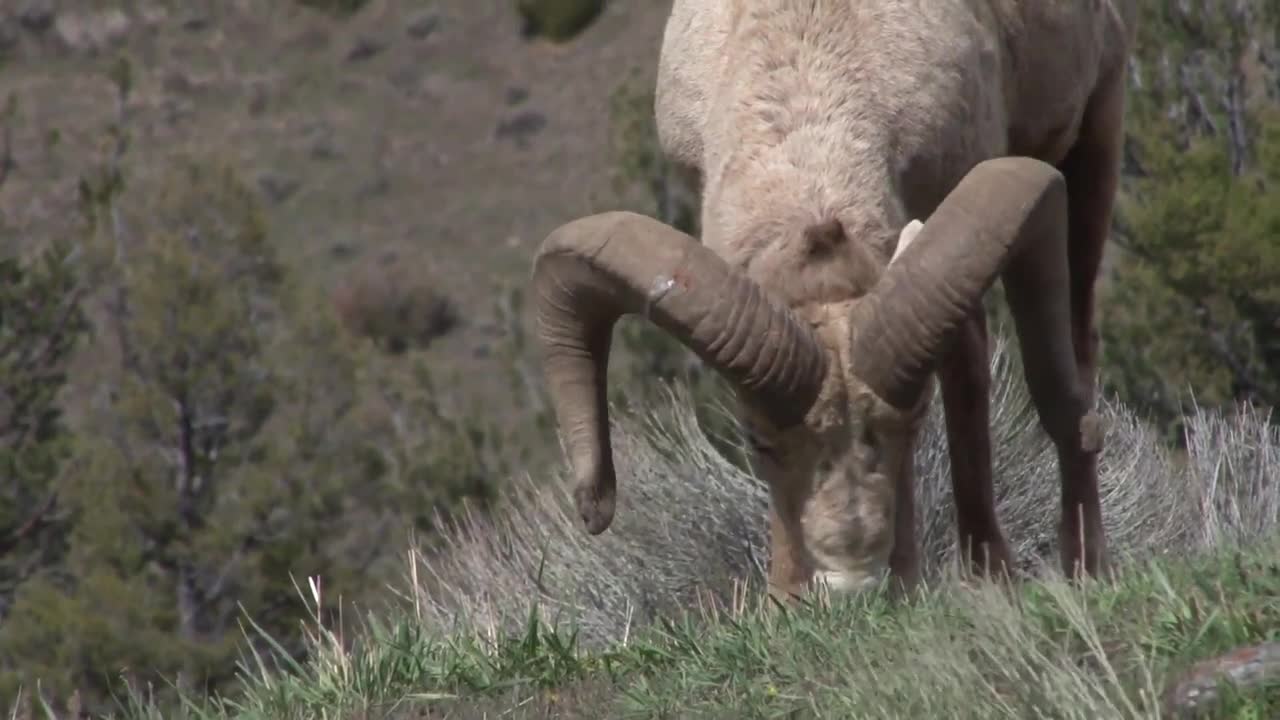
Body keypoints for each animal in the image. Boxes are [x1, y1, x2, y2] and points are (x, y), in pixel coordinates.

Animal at [529, 0, 1141, 599]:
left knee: (1071, 366)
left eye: (913, 422)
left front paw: (984, 578)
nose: (851, 583)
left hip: (1094, 140)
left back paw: (1085, 566)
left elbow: (969, 395)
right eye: (756, 440)